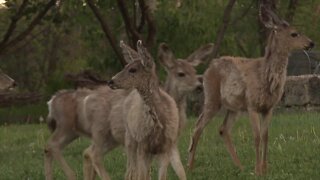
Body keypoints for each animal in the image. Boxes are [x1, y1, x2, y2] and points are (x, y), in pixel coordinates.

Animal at [186, 1, 314, 176]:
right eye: (294, 34)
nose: (311, 43)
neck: (266, 76)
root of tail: (208, 69)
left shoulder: (268, 107)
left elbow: (266, 135)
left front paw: (265, 169)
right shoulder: (252, 104)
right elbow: (257, 136)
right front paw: (258, 169)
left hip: (234, 107)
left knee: (223, 129)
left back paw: (240, 167)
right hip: (212, 97)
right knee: (198, 127)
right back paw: (190, 167)